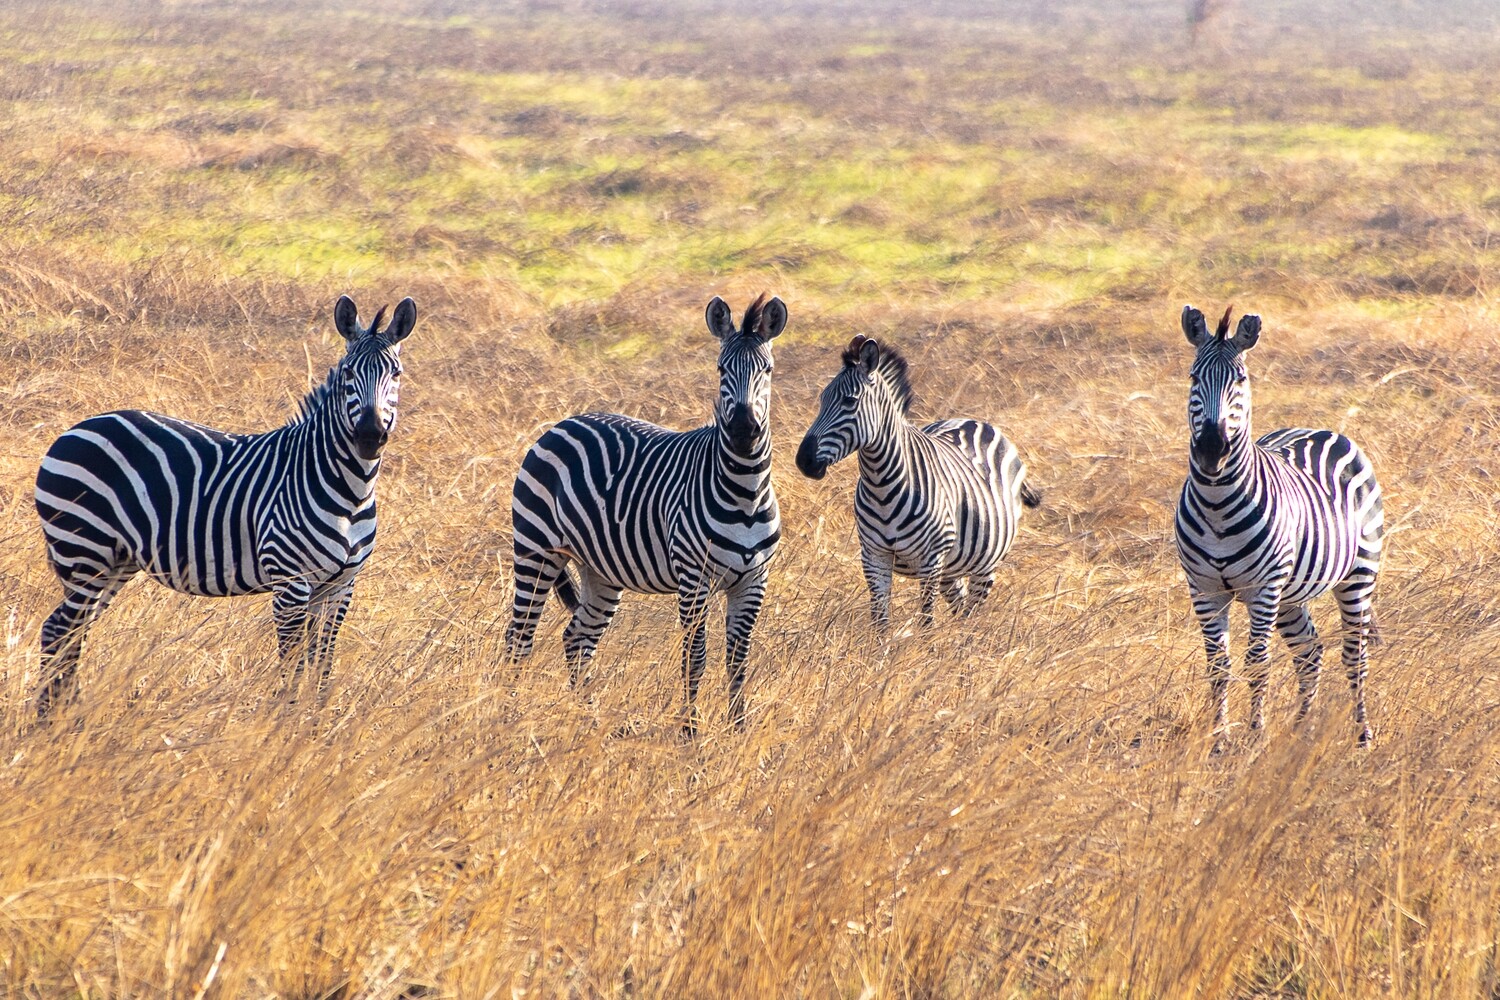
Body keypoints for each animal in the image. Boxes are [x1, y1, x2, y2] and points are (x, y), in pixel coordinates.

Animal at [33, 295, 416, 716]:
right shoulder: (291, 583)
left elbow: (322, 668)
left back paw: (68, 719)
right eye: (348, 373)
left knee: (69, 634)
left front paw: (315, 726)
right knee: (59, 631)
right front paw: (287, 726)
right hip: (83, 549)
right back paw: (52, 722)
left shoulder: (340, 586)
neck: (350, 490)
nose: (369, 436)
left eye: (396, 374)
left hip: (114, 562)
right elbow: (294, 669)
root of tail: (77, 428)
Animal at [506, 294, 785, 735]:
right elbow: (695, 659)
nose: (743, 430)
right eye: (721, 369)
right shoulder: (694, 579)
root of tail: (564, 422)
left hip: (599, 570)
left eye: (768, 370)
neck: (745, 492)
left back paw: (587, 720)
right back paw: (507, 717)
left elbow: (738, 661)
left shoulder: (754, 580)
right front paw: (690, 734)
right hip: (536, 549)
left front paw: (738, 731)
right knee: (519, 637)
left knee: (577, 638)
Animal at [795, 335, 1040, 630]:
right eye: (822, 399)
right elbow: (880, 621)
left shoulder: (930, 560)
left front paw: (925, 642)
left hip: (985, 563)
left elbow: (925, 621)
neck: (881, 484)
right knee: (960, 607)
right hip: (951, 567)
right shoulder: (874, 557)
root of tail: (973, 421)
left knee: (971, 614)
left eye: (849, 402)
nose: (804, 461)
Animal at [1175, 305, 1383, 745]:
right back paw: (1302, 730)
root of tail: (1320, 429)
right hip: (1291, 594)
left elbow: (1258, 661)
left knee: (1354, 655)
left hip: (1358, 573)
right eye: (1193, 378)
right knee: (1310, 652)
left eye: (1241, 379)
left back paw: (1362, 735)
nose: (1211, 451)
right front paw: (1218, 742)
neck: (1216, 505)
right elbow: (1218, 667)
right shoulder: (1204, 589)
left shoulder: (1262, 589)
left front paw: (1255, 736)